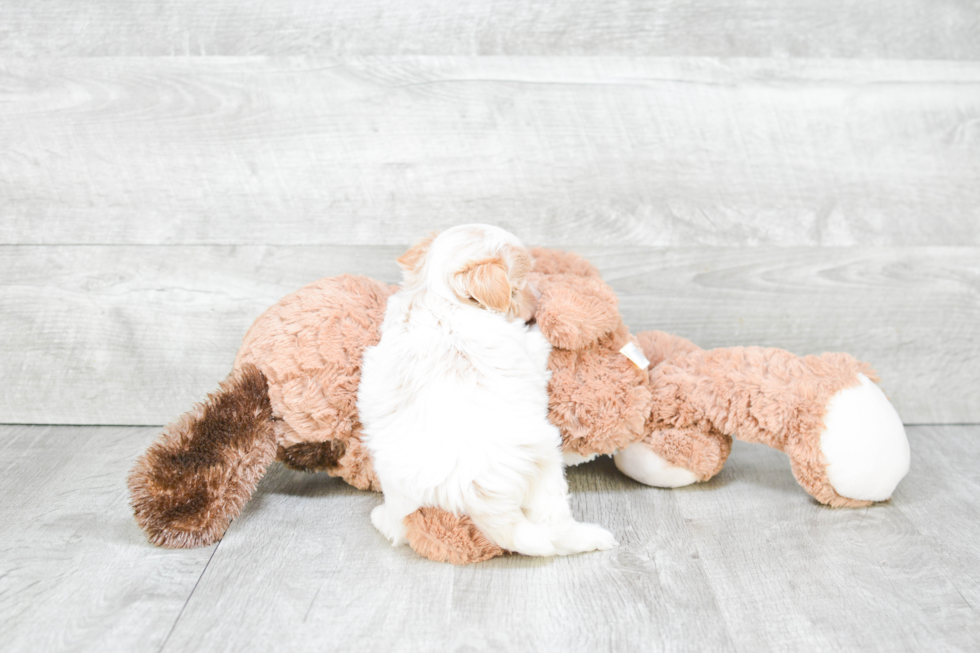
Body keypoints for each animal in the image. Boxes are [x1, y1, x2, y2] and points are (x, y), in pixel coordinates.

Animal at [360, 224, 616, 556]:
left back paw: (381, 517)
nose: (539, 297)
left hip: (398, 487)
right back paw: (593, 537)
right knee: (556, 528)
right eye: (517, 287)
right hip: (546, 467)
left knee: (398, 526)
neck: (438, 297)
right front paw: (546, 324)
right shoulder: (525, 348)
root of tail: (476, 497)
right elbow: (537, 340)